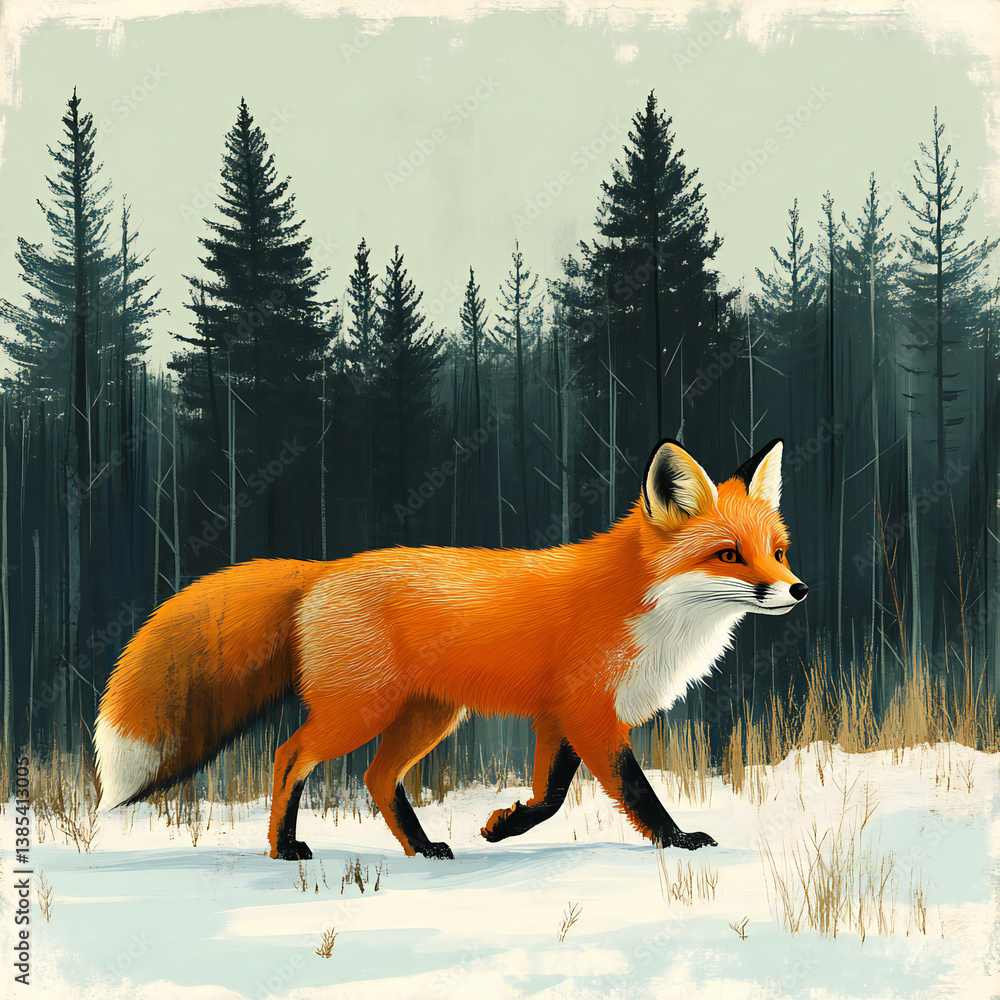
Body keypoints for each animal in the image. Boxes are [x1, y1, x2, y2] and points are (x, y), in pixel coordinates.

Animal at [95, 437, 806, 861]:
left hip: (429, 717)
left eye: (776, 551)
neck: (649, 611)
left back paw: (423, 848)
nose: (798, 590)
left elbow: (550, 796)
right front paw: (679, 840)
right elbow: (634, 791)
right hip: (360, 711)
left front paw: (503, 824)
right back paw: (285, 849)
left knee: (376, 778)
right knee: (289, 756)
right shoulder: (588, 710)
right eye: (728, 556)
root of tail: (321, 569)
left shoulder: (561, 717)